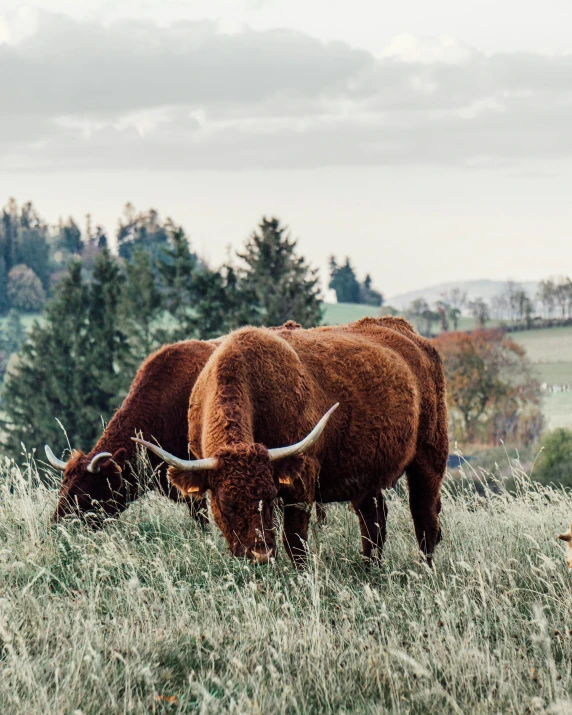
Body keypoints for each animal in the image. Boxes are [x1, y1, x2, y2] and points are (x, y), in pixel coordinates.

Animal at [136, 318, 450, 564]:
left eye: (268, 495)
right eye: (226, 502)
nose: (260, 553)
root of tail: (409, 334)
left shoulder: (300, 483)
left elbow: (294, 541)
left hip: (430, 457)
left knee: (424, 520)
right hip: (368, 475)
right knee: (373, 523)